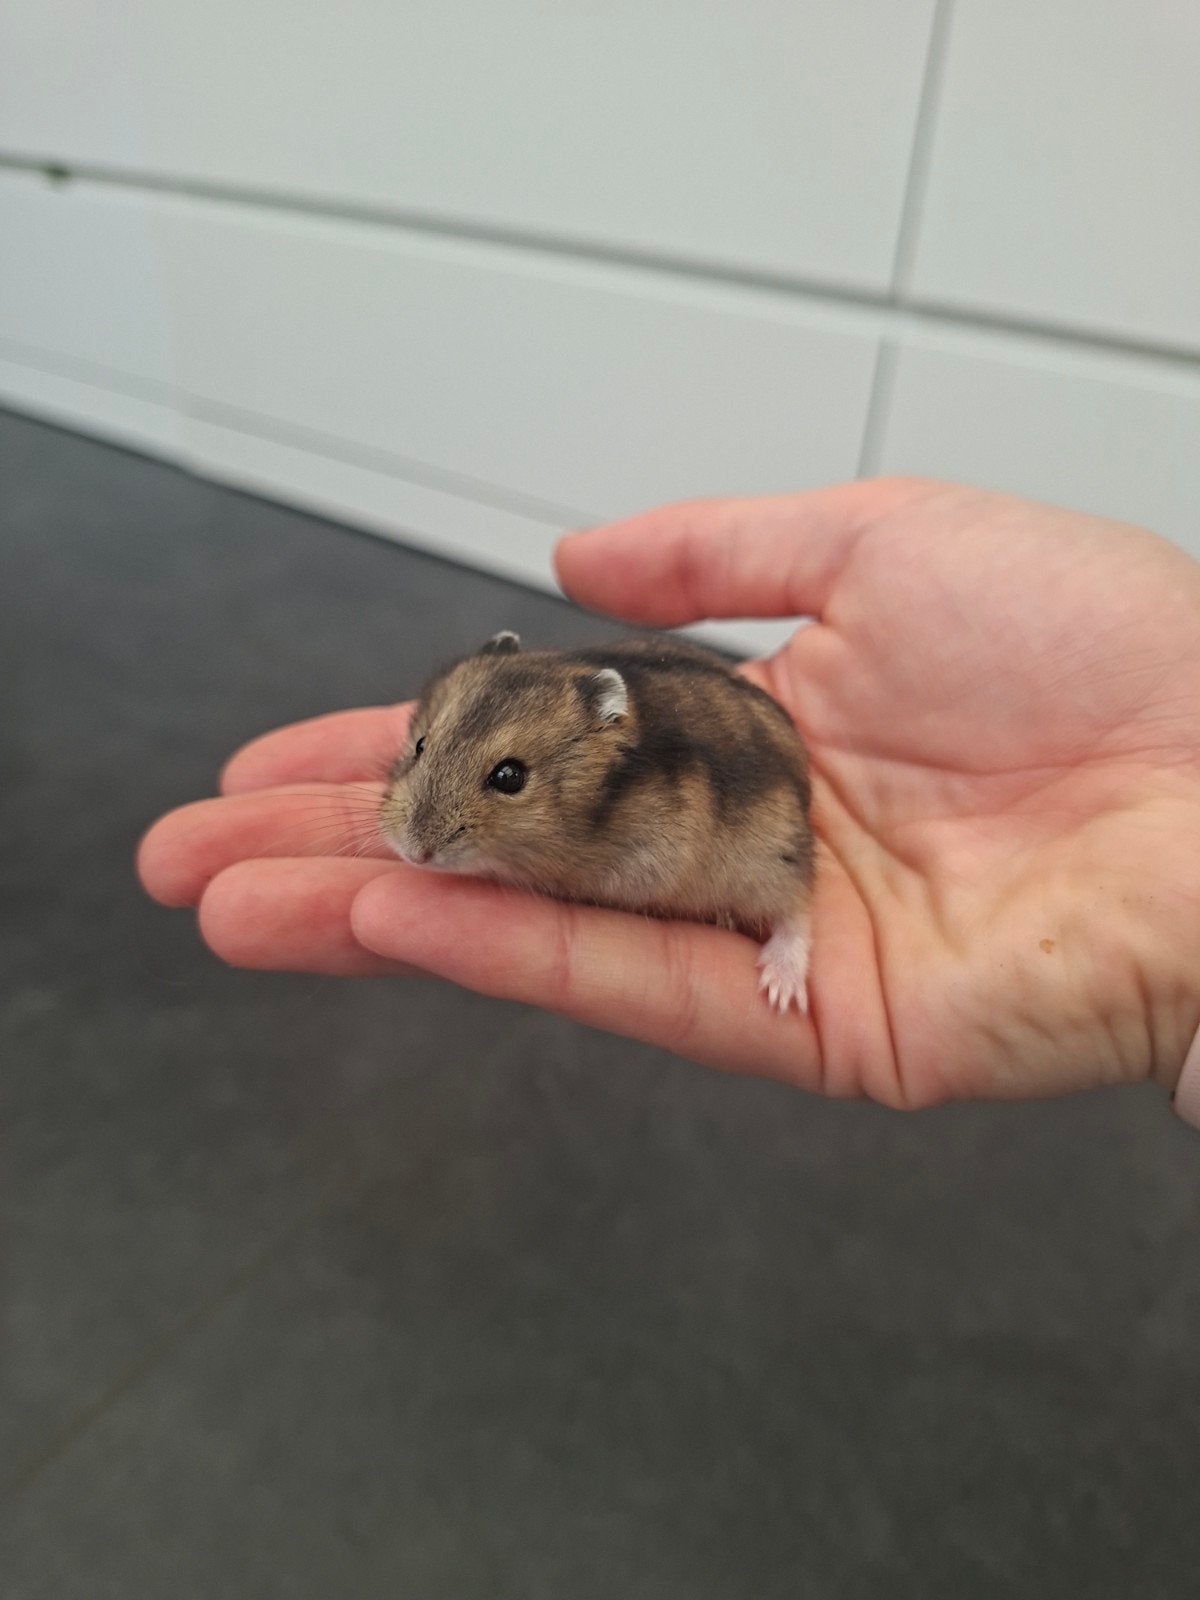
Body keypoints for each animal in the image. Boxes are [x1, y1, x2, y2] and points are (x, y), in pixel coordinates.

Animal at [378, 632, 815, 1013]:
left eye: (509, 776)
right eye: (420, 745)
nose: (414, 853)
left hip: (772, 857)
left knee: (798, 909)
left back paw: (781, 993)